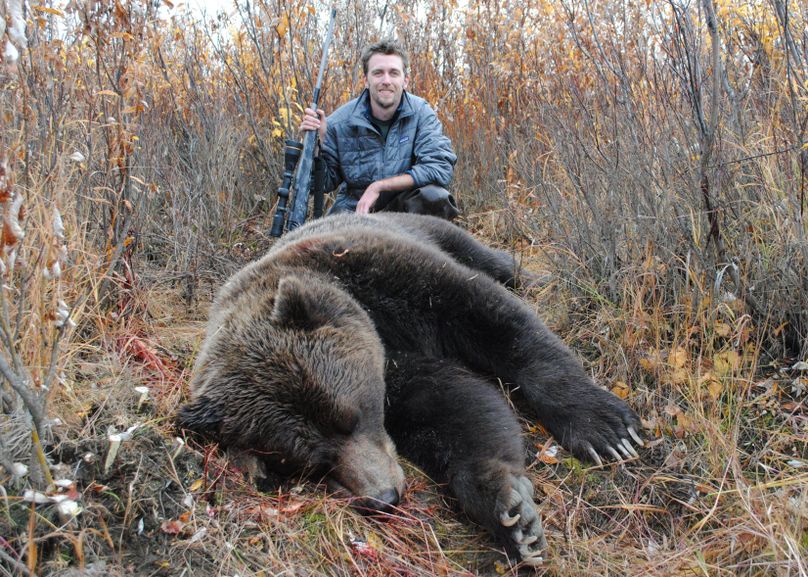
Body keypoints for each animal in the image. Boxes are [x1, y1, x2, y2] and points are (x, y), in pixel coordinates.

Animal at [177, 212, 644, 566]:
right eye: (311, 461)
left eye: (352, 416)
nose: (384, 497)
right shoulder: (394, 371)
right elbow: (457, 410)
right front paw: (511, 513)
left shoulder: (389, 277)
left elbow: (497, 321)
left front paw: (607, 430)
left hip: (431, 229)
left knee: (493, 262)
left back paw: (538, 277)